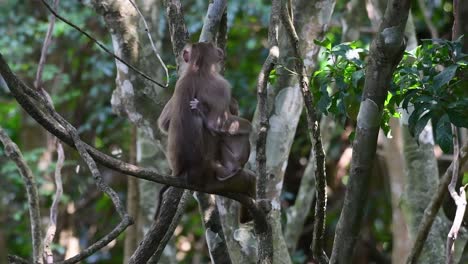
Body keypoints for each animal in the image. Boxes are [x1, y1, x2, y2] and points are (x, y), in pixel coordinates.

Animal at [159, 42, 258, 201]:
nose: (220, 50)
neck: (198, 69)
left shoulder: (180, 82)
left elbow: (164, 123)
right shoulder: (222, 85)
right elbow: (216, 124)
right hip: (216, 178)